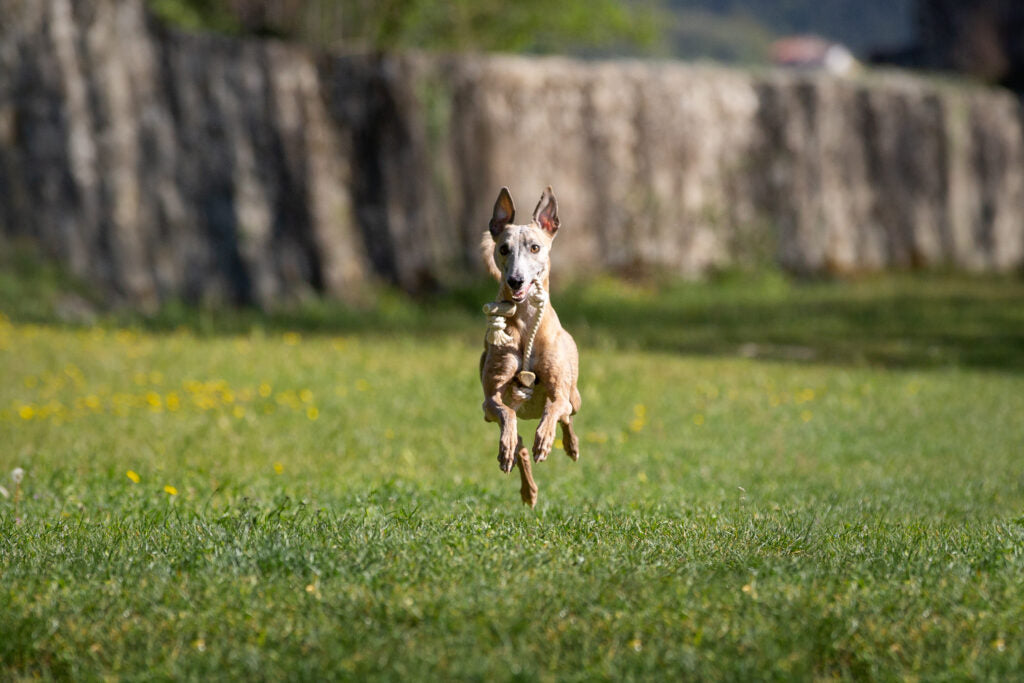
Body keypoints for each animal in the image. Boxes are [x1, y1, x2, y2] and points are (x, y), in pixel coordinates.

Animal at [477, 187, 581, 507]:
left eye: (535, 247)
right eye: (503, 249)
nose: (515, 280)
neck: (525, 324)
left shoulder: (559, 391)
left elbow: (555, 409)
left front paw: (545, 441)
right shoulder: (490, 401)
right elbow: (505, 414)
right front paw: (508, 447)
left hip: (576, 395)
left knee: (567, 414)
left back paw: (570, 446)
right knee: (518, 442)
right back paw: (526, 484)